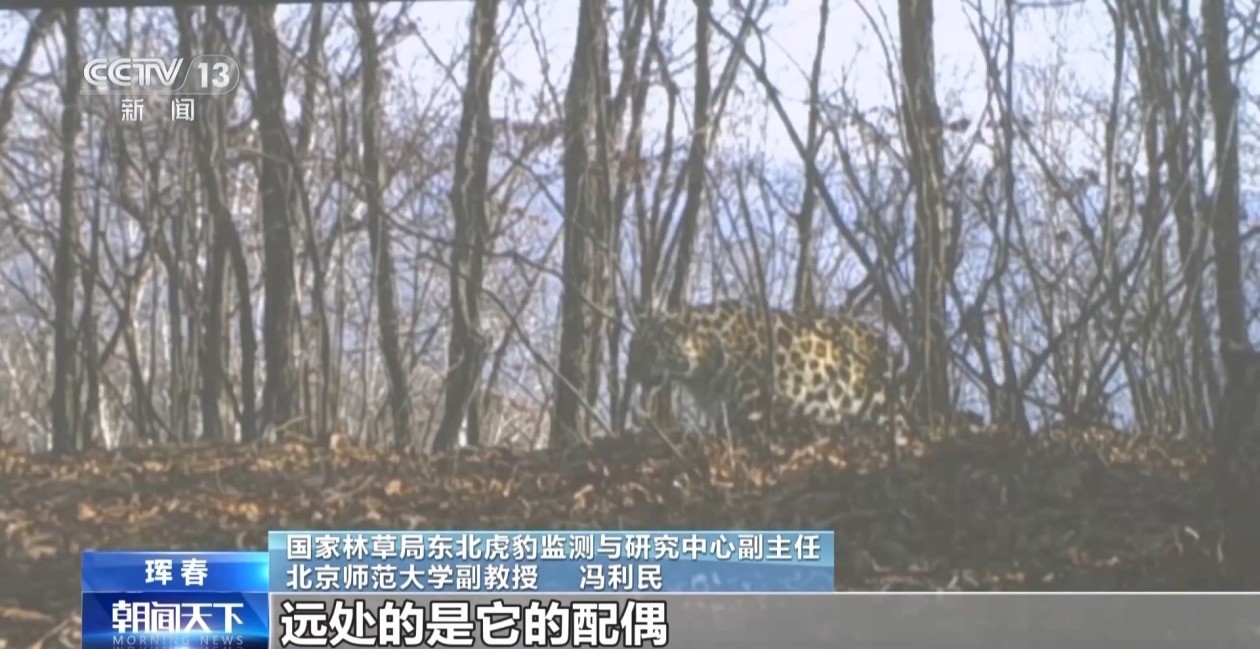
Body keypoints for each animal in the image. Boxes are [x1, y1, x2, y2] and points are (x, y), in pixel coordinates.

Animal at [626, 300, 914, 446]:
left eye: (650, 349)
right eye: (631, 348)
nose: (632, 373)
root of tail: (883, 341)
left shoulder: (752, 408)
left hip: (878, 400)